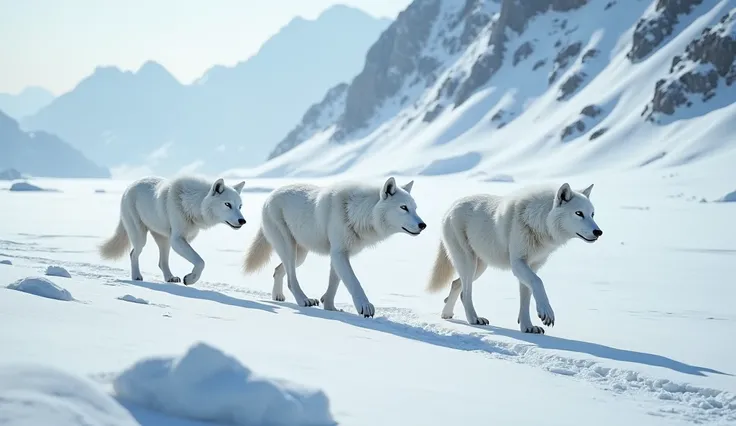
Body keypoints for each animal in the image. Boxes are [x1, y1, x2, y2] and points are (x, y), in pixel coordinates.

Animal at [99, 176, 247, 286]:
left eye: (240, 206)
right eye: (227, 204)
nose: (242, 221)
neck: (193, 203)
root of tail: (129, 187)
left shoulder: (181, 239)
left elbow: (199, 261)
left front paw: (189, 278)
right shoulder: (177, 240)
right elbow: (201, 262)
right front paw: (190, 279)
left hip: (164, 241)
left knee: (161, 262)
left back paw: (170, 278)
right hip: (141, 237)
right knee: (133, 254)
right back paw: (136, 276)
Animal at [242, 176, 426, 316]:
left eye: (415, 209)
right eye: (403, 207)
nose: (423, 225)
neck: (355, 212)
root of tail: (269, 196)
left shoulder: (338, 255)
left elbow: (334, 284)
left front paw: (330, 308)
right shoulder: (339, 254)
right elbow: (353, 282)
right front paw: (364, 307)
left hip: (300, 255)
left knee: (278, 271)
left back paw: (278, 296)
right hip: (289, 249)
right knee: (291, 279)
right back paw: (303, 300)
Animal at [426, 183, 604, 332]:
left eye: (592, 214)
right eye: (579, 213)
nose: (598, 232)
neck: (538, 222)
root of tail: (450, 207)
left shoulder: (532, 266)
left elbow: (526, 298)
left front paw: (528, 327)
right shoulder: (518, 264)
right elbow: (538, 282)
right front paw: (546, 312)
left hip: (480, 267)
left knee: (456, 284)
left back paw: (446, 314)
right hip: (469, 263)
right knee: (465, 292)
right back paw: (474, 319)